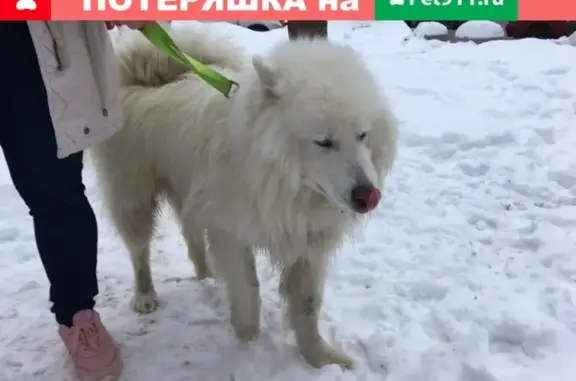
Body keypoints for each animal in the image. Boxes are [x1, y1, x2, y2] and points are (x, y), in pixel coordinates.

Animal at [92, 27, 398, 368]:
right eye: (324, 142)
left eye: (363, 135)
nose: (368, 196)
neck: (282, 181)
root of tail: (143, 75)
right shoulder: (231, 231)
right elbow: (249, 289)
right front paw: (248, 344)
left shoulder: (307, 243)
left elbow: (308, 305)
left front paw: (321, 358)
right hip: (134, 197)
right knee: (139, 250)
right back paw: (145, 295)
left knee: (190, 233)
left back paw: (208, 275)